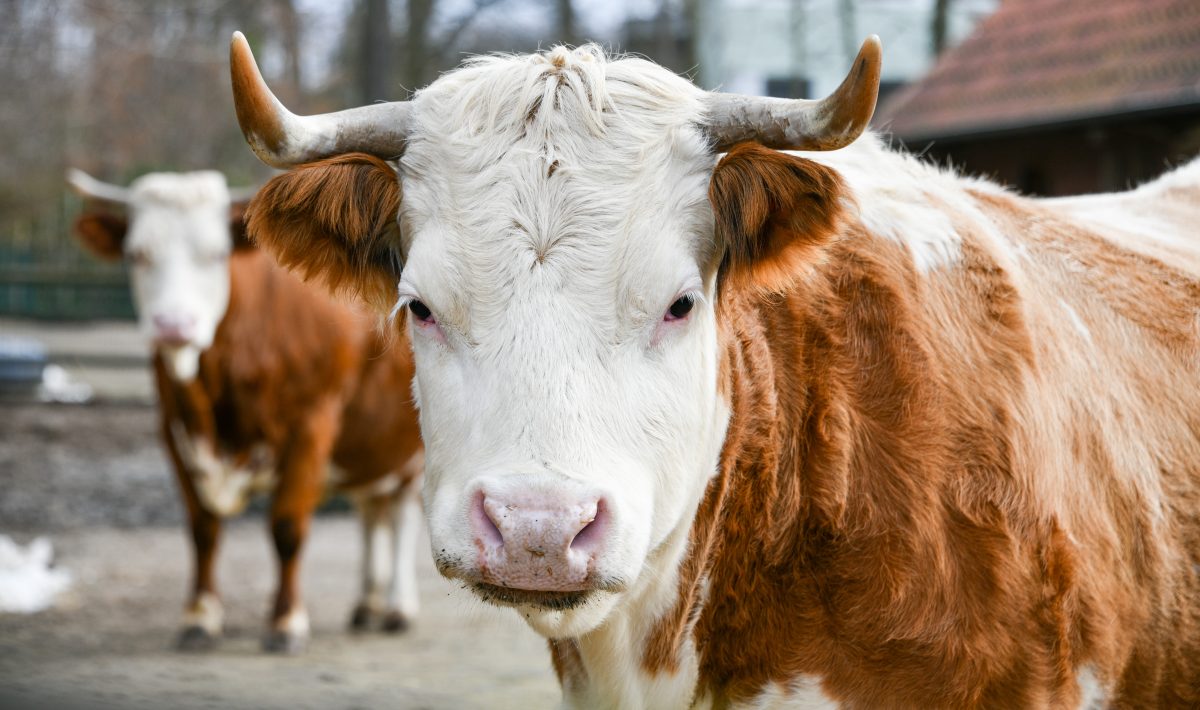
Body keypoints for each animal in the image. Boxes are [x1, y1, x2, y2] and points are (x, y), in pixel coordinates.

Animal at [68, 167, 422, 652]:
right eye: (136, 254)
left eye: (217, 253)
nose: (173, 326)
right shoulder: (175, 428)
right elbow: (203, 529)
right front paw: (200, 616)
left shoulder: (311, 425)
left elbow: (287, 528)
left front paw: (286, 621)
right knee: (373, 510)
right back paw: (368, 603)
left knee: (404, 512)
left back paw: (399, 607)